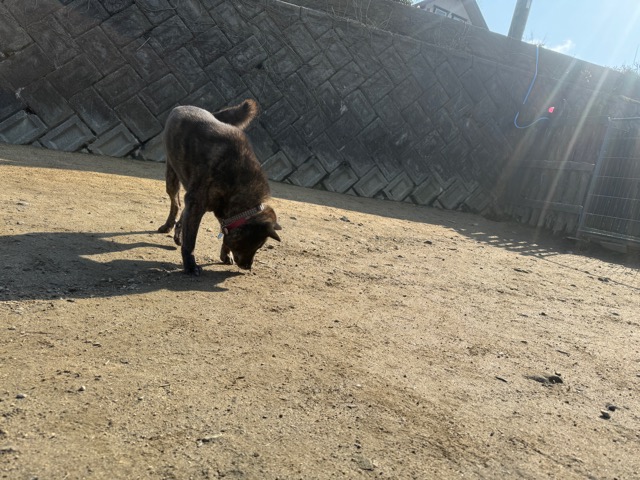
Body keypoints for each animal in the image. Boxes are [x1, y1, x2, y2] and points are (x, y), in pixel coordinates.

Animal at [158, 99, 281, 274]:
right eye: (257, 245)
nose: (248, 267)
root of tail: (184, 106)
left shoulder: (218, 211)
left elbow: (222, 232)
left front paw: (225, 254)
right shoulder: (197, 205)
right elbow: (191, 241)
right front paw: (190, 265)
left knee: (181, 210)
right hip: (172, 177)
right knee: (176, 204)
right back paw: (168, 225)